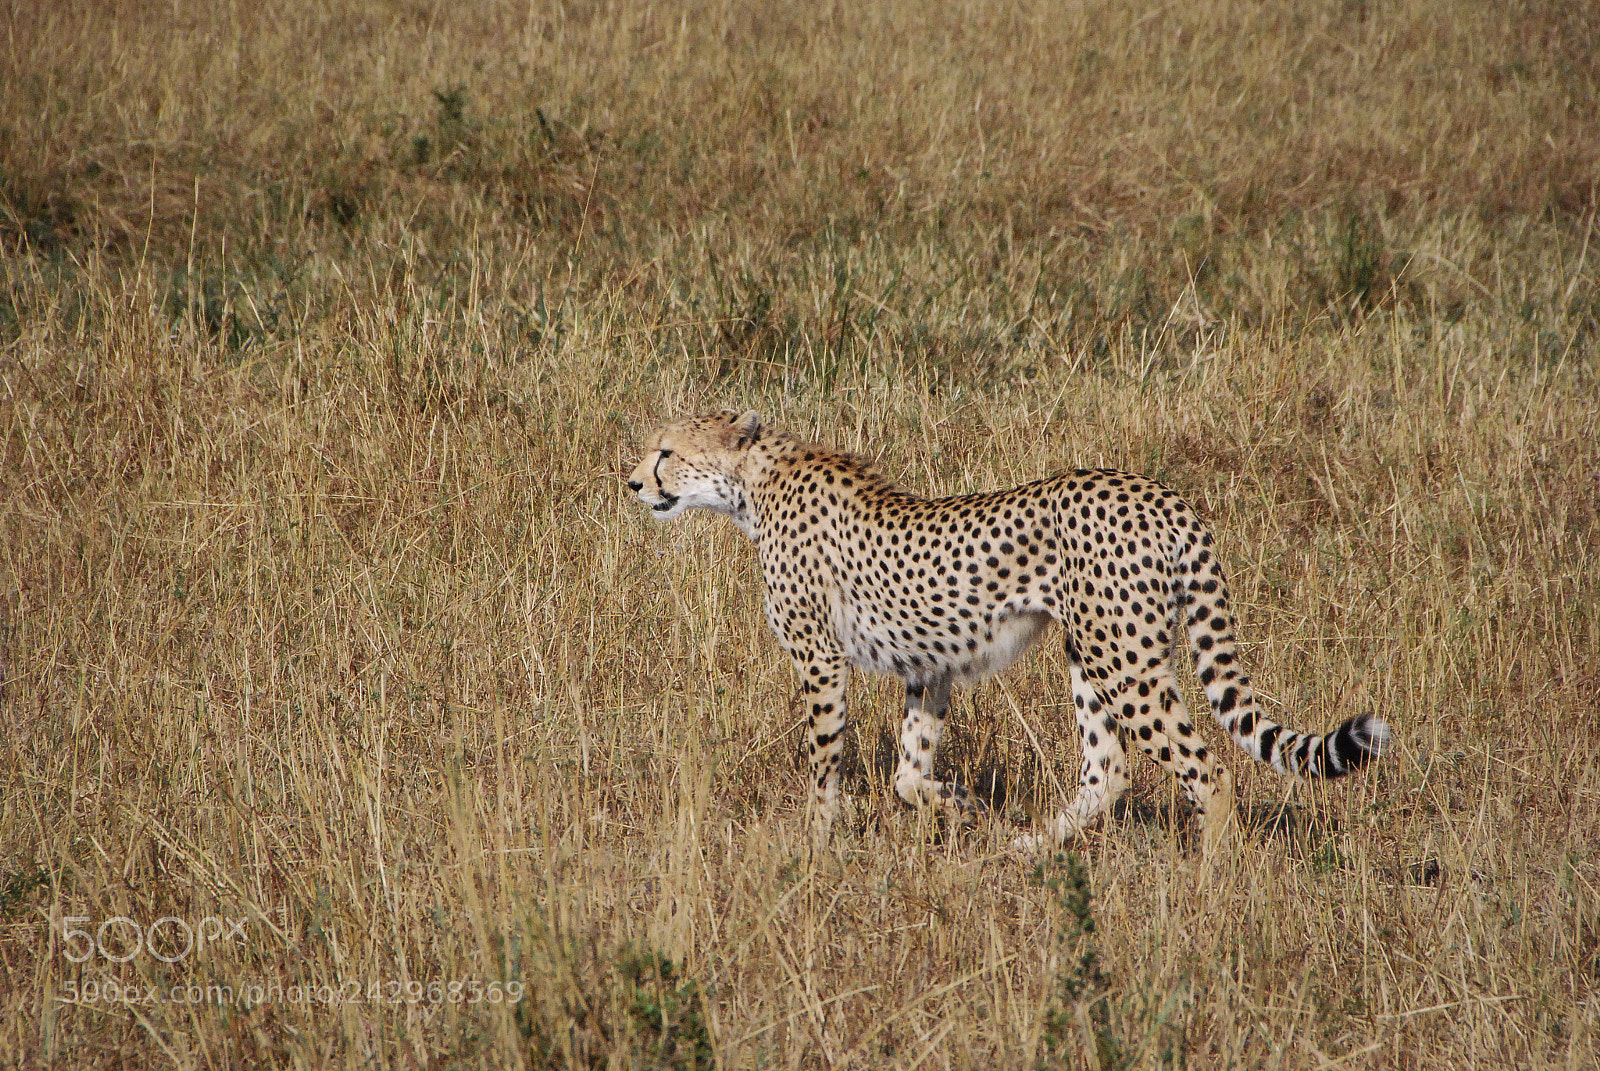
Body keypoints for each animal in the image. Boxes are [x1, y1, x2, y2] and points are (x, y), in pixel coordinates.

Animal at [627, 409, 1388, 848]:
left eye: (665, 452)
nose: (632, 482)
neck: (752, 483)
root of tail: (1163, 494)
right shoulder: (929, 665)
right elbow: (907, 772)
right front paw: (958, 805)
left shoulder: (821, 659)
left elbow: (823, 761)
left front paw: (813, 847)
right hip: (1091, 652)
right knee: (1108, 769)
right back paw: (1029, 850)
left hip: (1125, 661)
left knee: (1209, 771)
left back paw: (1209, 885)